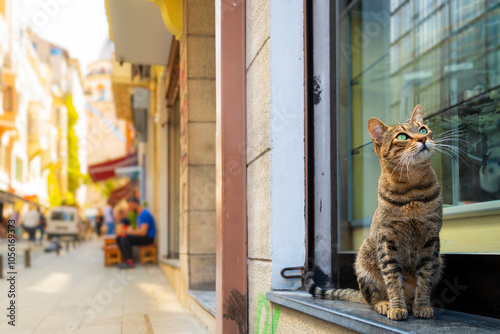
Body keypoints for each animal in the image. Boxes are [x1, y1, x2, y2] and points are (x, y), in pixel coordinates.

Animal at [304, 105, 442, 320]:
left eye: (423, 129)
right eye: (402, 137)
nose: (423, 139)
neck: (412, 188)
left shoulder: (431, 239)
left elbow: (425, 278)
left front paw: (422, 305)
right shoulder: (386, 239)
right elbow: (393, 279)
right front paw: (396, 307)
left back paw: (411, 303)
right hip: (363, 263)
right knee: (372, 298)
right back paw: (385, 304)